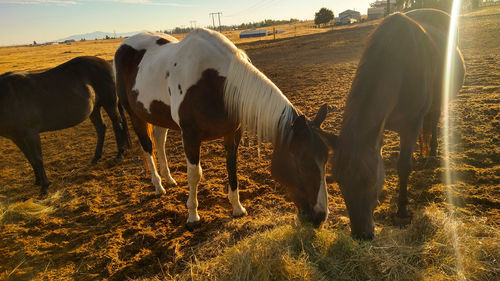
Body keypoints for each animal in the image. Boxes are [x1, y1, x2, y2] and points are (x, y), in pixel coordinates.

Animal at [0, 55, 129, 195]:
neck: (7, 97)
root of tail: (107, 64)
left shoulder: (31, 134)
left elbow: (38, 159)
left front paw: (44, 186)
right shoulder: (17, 137)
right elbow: (30, 158)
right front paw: (37, 181)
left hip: (109, 103)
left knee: (118, 126)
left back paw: (119, 155)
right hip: (95, 108)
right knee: (101, 128)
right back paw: (96, 158)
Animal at [114, 29, 332, 230]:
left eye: (325, 161)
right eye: (304, 164)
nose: (320, 217)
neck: (215, 83)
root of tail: (124, 44)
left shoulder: (232, 133)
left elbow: (232, 167)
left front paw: (237, 208)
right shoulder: (190, 135)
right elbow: (195, 174)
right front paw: (193, 216)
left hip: (158, 115)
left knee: (159, 142)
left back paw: (169, 179)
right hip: (135, 115)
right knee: (147, 147)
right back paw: (158, 185)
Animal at [330, 10, 466, 238]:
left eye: (370, 180)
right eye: (339, 181)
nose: (361, 235)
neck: (400, 66)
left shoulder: (411, 125)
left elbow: (403, 166)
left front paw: (402, 210)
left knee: (434, 121)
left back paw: (433, 152)